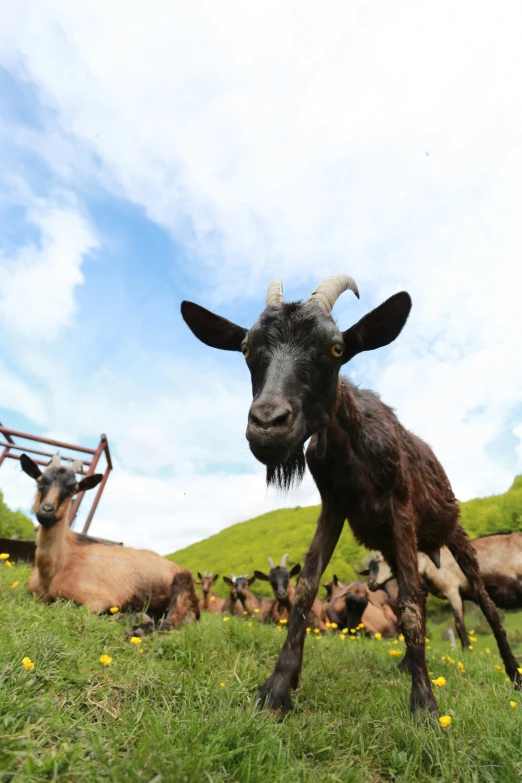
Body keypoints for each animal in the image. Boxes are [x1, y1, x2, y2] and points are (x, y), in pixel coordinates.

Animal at [20, 454, 199, 632]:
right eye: (40, 482)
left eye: (73, 489)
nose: (46, 510)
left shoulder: (101, 598)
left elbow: (78, 612)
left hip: (182, 582)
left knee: (169, 623)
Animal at [362, 532, 520, 648]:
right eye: (368, 568)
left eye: (377, 564)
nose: (370, 585)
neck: (428, 565)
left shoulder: (452, 590)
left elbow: (459, 624)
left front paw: (467, 649)